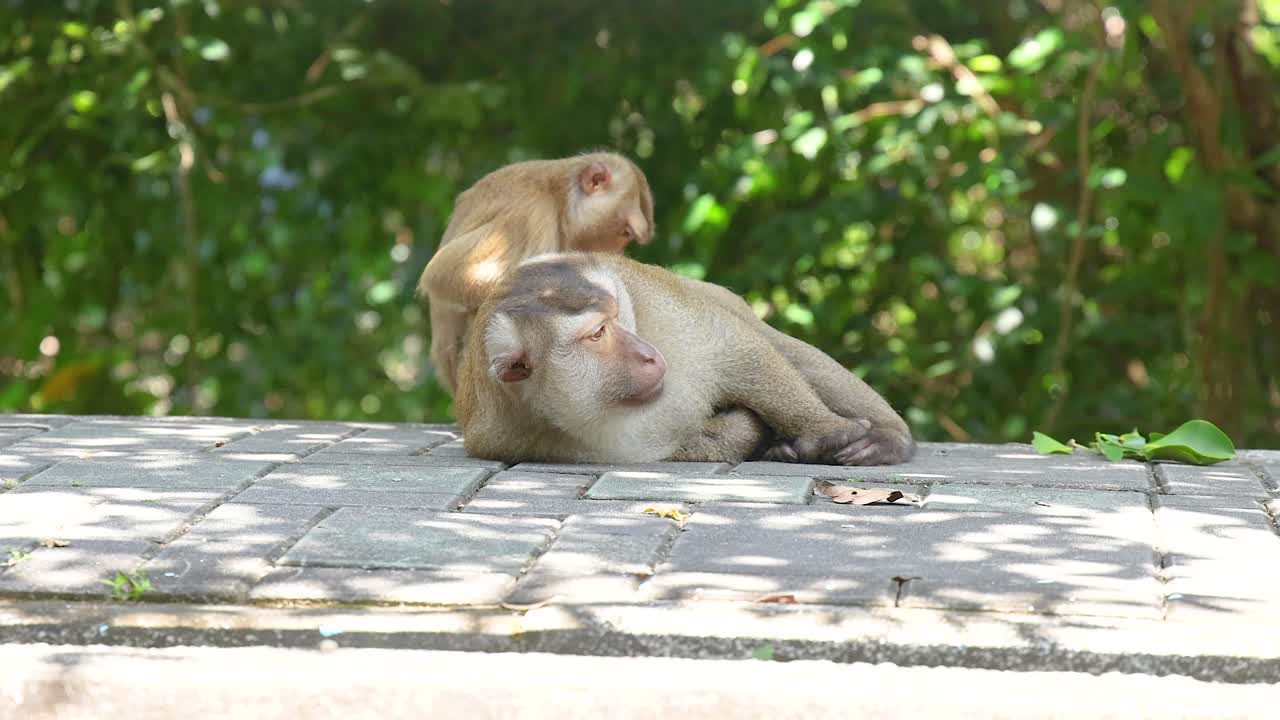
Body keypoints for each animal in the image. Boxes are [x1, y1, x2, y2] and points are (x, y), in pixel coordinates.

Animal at [455, 252, 914, 466]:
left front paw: (827, 432)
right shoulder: (518, 436)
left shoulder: (663, 309)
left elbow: (739, 352)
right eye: (598, 333)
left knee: (779, 347)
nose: (647, 354)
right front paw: (756, 433)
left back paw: (890, 437)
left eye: (616, 315)